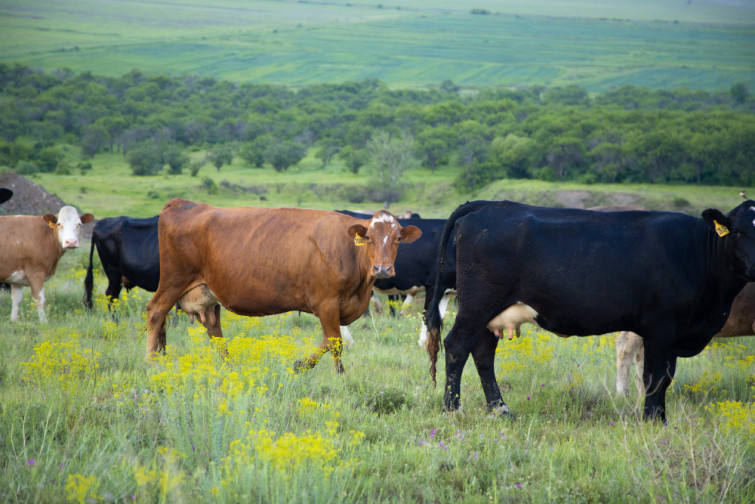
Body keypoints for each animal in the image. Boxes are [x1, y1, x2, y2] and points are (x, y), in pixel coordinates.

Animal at [145, 200, 422, 370]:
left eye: (398, 238)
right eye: (369, 237)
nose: (383, 268)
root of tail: (184, 204)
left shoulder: (335, 308)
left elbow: (328, 340)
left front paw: (304, 366)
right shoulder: (326, 303)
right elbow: (334, 343)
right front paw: (336, 375)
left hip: (208, 292)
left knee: (214, 328)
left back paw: (229, 367)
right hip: (173, 280)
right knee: (155, 312)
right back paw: (151, 361)